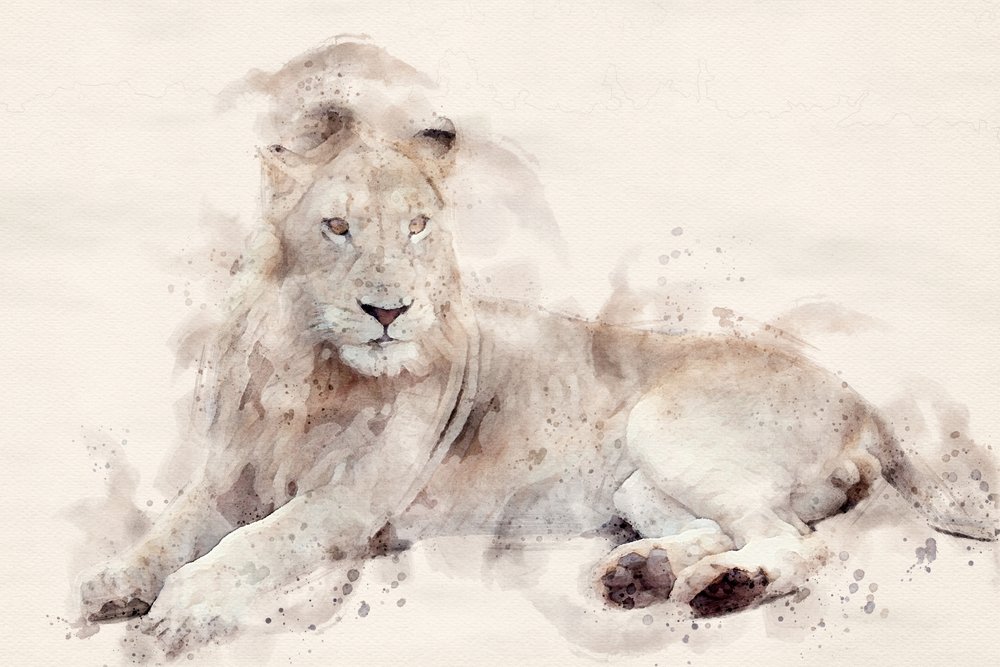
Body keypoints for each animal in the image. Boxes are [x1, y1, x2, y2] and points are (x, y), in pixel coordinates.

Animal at [78, 42, 997, 656]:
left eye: (418, 226)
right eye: (337, 227)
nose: (390, 309)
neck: (307, 370)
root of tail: (861, 399)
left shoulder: (348, 505)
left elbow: (252, 545)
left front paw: (179, 610)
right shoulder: (228, 478)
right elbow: (172, 529)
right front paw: (113, 581)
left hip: (670, 428)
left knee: (795, 540)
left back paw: (722, 590)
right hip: (640, 482)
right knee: (728, 525)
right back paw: (641, 574)